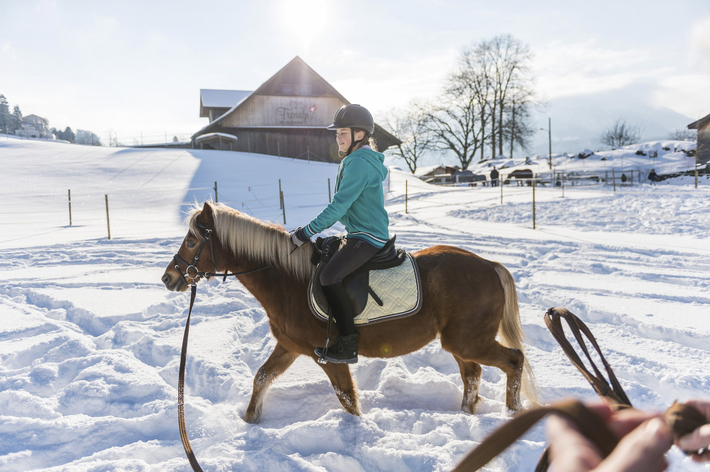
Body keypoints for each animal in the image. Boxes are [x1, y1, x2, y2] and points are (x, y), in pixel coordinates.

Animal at [163, 201, 540, 422]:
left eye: (193, 241)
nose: (169, 277)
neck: (287, 280)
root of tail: (490, 266)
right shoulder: (290, 346)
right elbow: (261, 376)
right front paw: (250, 419)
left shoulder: (328, 357)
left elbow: (346, 398)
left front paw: (359, 428)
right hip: (459, 343)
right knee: (473, 375)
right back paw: (468, 416)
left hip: (468, 340)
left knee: (513, 361)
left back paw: (513, 414)